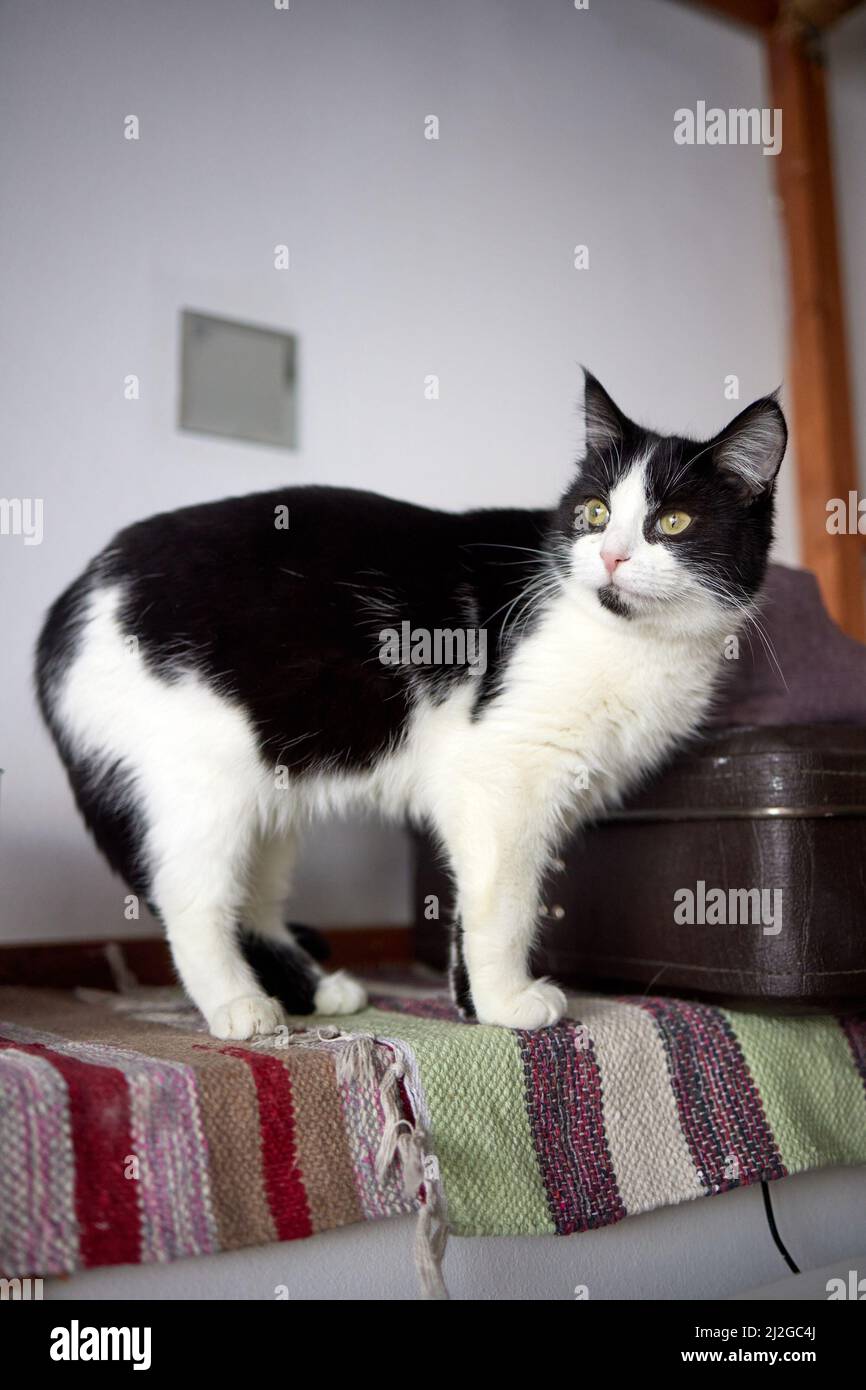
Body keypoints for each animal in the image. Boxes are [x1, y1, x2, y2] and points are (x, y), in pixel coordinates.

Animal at [37, 375, 783, 1039]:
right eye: (595, 513)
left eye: (673, 521)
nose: (612, 556)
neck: (631, 640)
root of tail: (70, 603)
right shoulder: (503, 776)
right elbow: (508, 900)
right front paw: (509, 1002)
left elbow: (473, 898)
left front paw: (475, 1004)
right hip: (199, 783)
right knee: (192, 903)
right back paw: (239, 1007)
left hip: (268, 789)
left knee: (255, 899)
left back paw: (317, 991)